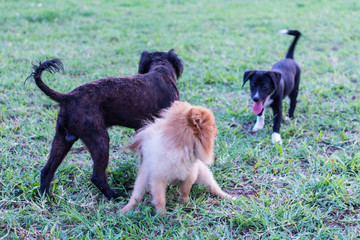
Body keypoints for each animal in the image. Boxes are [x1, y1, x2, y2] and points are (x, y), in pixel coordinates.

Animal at [26, 49, 183, 200]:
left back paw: (45, 197)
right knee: (97, 176)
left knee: (47, 170)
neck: (160, 69)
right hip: (99, 140)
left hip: (62, 140)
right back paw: (114, 196)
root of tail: (67, 97)